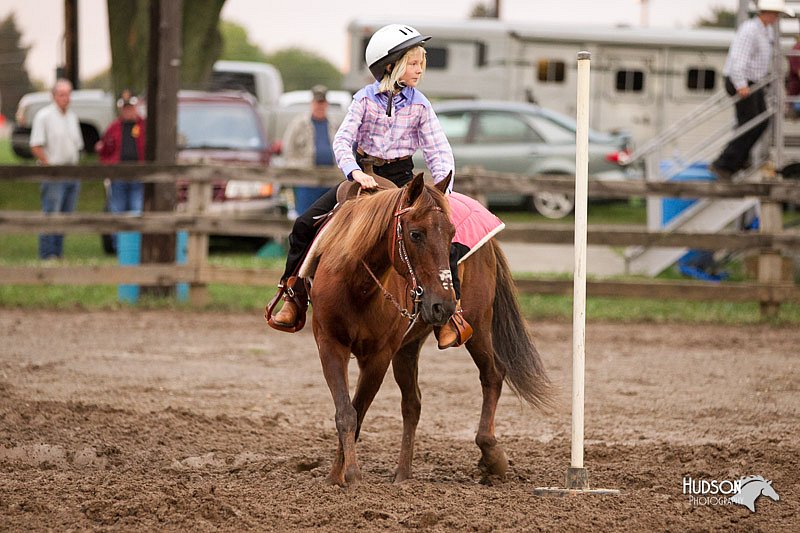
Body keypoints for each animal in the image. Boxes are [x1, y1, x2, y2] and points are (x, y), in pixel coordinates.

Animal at [308, 172, 552, 484]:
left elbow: (358, 411)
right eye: (415, 234)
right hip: (408, 348)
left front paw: (349, 474)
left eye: (451, 234)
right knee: (413, 404)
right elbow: (345, 411)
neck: (357, 285)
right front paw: (336, 477)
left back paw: (492, 455)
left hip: (478, 325)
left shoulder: (378, 356)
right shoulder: (329, 344)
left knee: (493, 374)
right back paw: (403, 474)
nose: (443, 306)